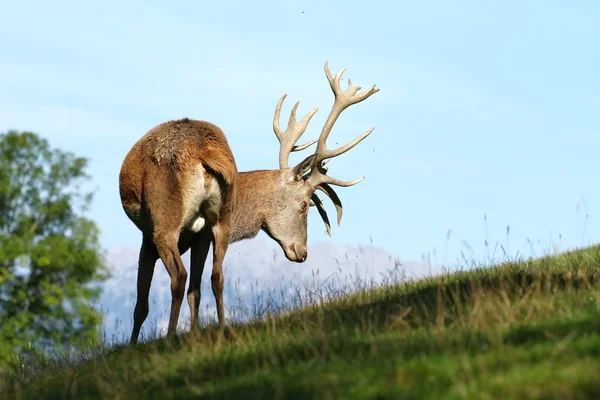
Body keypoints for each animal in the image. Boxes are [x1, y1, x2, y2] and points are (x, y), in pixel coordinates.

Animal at [119, 61, 378, 344]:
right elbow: (193, 291)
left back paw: (170, 338)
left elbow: (141, 304)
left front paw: (133, 345)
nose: (303, 253)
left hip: (165, 222)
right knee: (215, 276)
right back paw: (220, 330)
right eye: (304, 205)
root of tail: (205, 153)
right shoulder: (200, 236)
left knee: (180, 277)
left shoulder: (149, 236)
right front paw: (194, 334)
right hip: (217, 221)